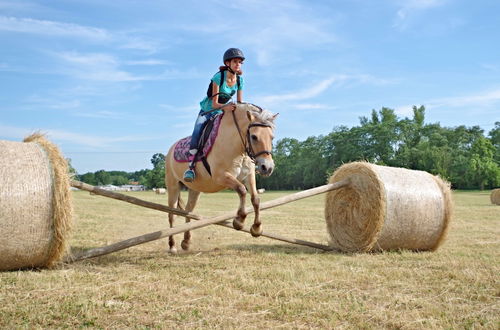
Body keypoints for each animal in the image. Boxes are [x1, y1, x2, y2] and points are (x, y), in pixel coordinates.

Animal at [166, 103, 280, 253]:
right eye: (254, 136)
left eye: (272, 137)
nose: (267, 167)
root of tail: (171, 149)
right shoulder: (221, 176)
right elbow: (241, 190)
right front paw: (239, 221)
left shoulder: (248, 176)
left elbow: (255, 199)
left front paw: (257, 228)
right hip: (173, 186)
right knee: (171, 214)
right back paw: (172, 245)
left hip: (195, 189)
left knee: (188, 211)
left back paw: (186, 242)